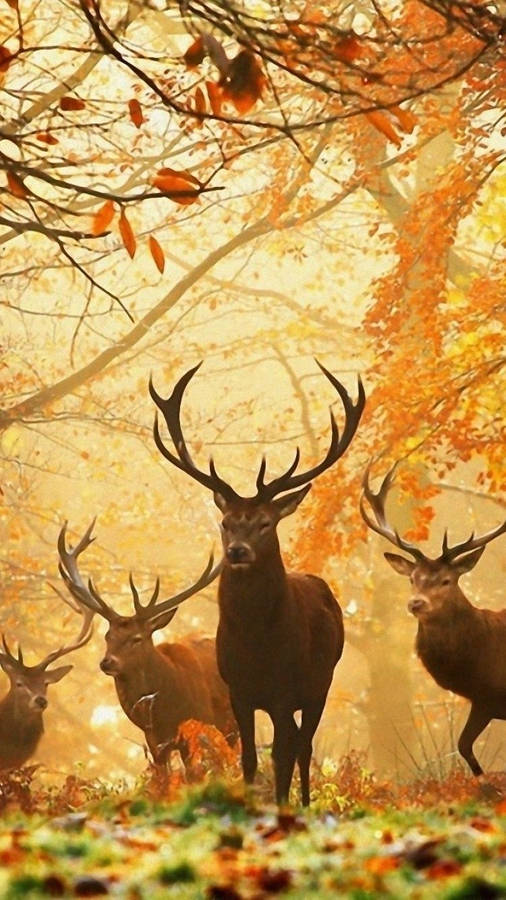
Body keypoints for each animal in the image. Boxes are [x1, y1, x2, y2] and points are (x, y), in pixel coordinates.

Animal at [149, 360, 365, 805]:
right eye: (226, 522)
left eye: (265, 523)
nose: (237, 551)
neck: (256, 645)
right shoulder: (238, 690)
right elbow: (248, 758)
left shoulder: (285, 689)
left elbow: (282, 755)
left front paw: (282, 806)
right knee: (297, 742)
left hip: (321, 682)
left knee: (304, 745)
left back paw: (304, 802)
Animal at [360, 463, 506, 783]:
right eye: (412, 579)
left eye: (446, 580)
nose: (416, 603)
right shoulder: (483, 700)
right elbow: (463, 746)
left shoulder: (489, 698)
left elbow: (466, 746)